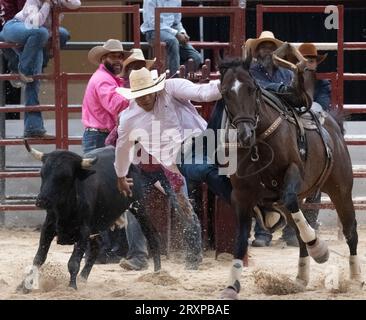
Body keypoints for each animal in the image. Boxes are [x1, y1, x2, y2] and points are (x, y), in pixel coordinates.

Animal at [217, 45, 360, 300]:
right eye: (225, 93)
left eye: (252, 88)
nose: (244, 134)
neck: (259, 145)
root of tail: (334, 125)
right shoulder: (241, 196)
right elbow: (241, 239)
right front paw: (232, 286)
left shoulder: (293, 173)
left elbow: (293, 203)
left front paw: (320, 248)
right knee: (298, 230)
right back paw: (301, 277)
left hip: (341, 190)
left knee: (349, 230)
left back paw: (354, 277)